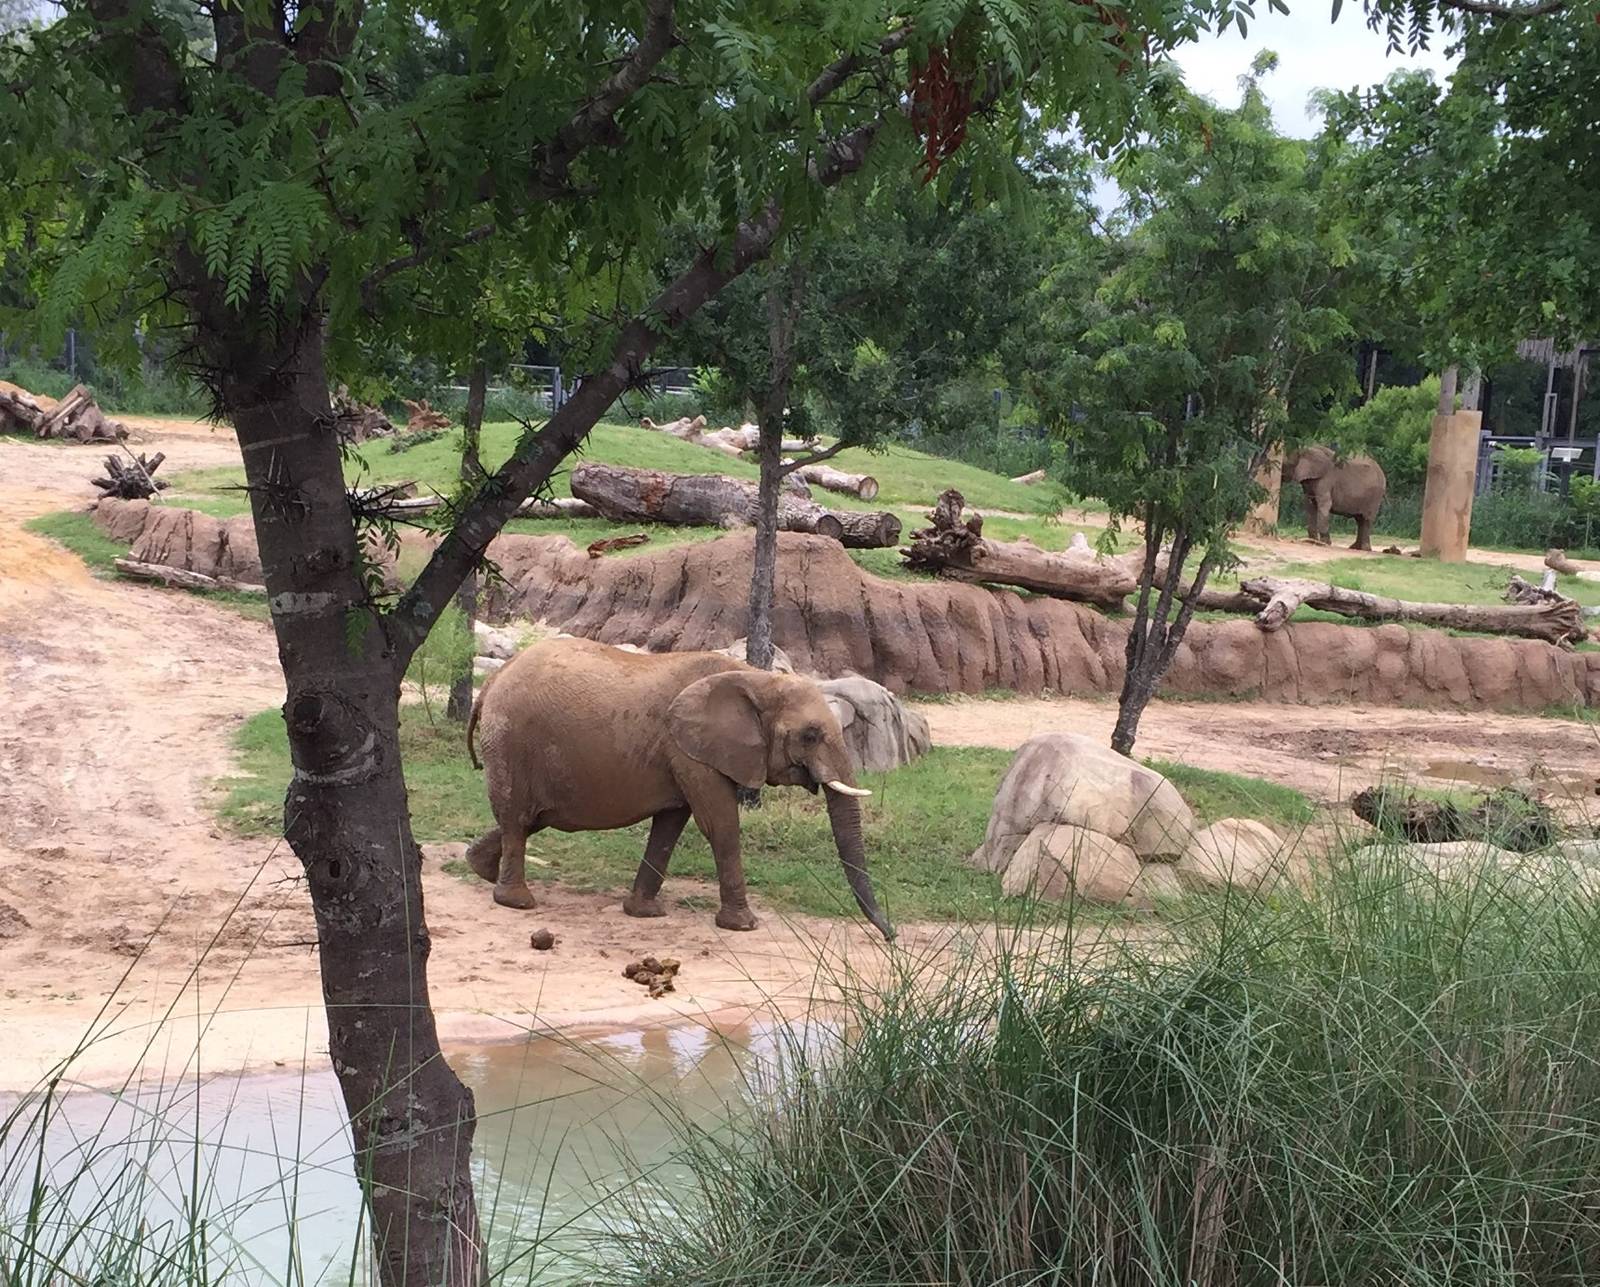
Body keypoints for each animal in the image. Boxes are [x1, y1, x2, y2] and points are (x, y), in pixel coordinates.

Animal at [464, 637, 895, 940]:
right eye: (810, 735)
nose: (890, 936)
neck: (755, 678)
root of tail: (491, 683)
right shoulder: (689, 750)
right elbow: (719, 824)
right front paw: (743, 925)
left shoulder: (685, 752)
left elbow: (671, 825)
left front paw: (644, 913)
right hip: (511, 740)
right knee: (518, 817)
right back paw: (517, 902)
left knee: (529, 818)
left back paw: (479, 868)